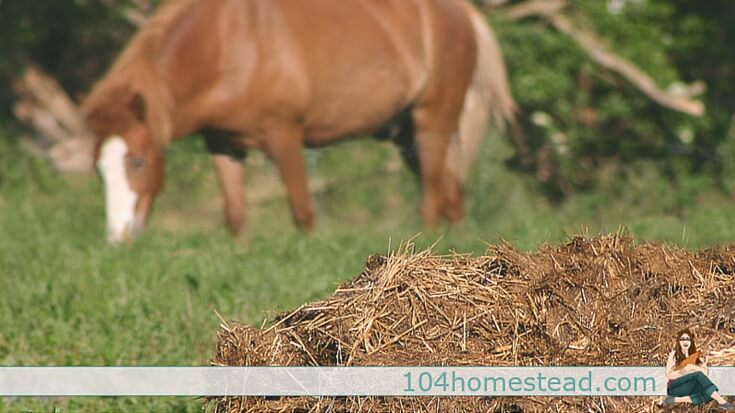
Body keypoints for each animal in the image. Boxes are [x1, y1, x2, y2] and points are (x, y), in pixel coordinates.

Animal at [83, 0, 516, 241]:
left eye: (138, 160)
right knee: (450, 190)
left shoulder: (284, 136)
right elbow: (236, 216)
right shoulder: (224, 144)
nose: (118, 237)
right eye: (99, 170)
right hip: (405, 134)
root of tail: (464, 12)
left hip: (432, 121)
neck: (227, 43)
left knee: (431, 194)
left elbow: (303, 212)